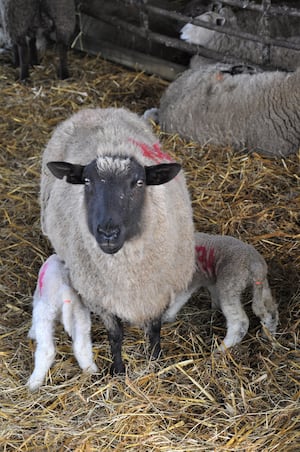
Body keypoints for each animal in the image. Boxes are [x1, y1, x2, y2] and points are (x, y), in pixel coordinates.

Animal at [26, 252, 98, 390]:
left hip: (44, 313)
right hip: (80, 313)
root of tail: (65, 289)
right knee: (81, 346)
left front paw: (31, 333)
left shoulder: (37, 298)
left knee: (47, 351)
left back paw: (33, 383)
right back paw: (91, 370)